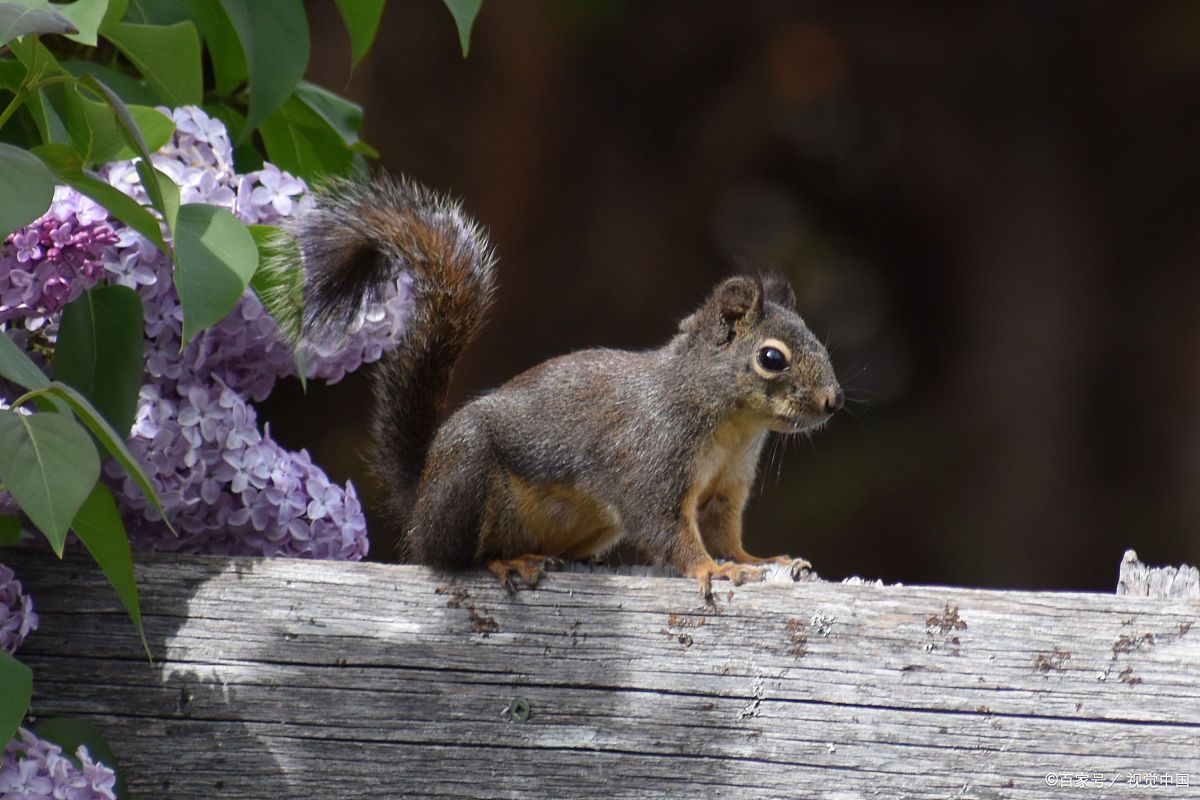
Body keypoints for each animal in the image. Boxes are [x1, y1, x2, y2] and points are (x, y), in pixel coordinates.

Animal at [290, 176, 844, 599]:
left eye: (817, 340)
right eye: (771, 359)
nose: (833, 402)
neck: (732, 427)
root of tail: (419, 500)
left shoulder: (726, 489)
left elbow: (724, 532)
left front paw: (758, 558)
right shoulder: (651, 457)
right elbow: (665, 528)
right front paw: (712, 569)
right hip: (466, 474)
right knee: (447, 556)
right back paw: (506, 562)